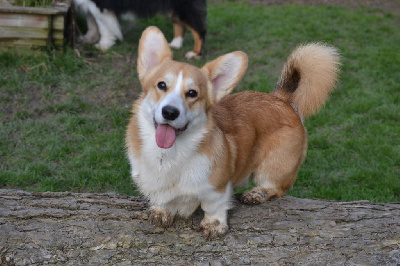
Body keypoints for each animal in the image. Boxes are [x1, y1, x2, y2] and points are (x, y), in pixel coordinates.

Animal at [73, 0, 208, 58]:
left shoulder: (100, 5)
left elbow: (103, 26)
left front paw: (104, 45)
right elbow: (92, 22)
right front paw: (88, 39)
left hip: (184, 7)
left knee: (199, 28)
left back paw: (195, 53)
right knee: (179, 24)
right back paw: (175, 44)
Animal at [126, 26, 340, 239]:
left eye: (192, 93)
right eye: (161, 85)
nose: (170, 112)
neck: (168, 156)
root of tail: (281, 99)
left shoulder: (218, 187)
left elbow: (213, 206)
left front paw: (214, 225)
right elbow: (163, 200)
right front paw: (161, 212)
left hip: (274, 166)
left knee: (277, 187)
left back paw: (256, 194)